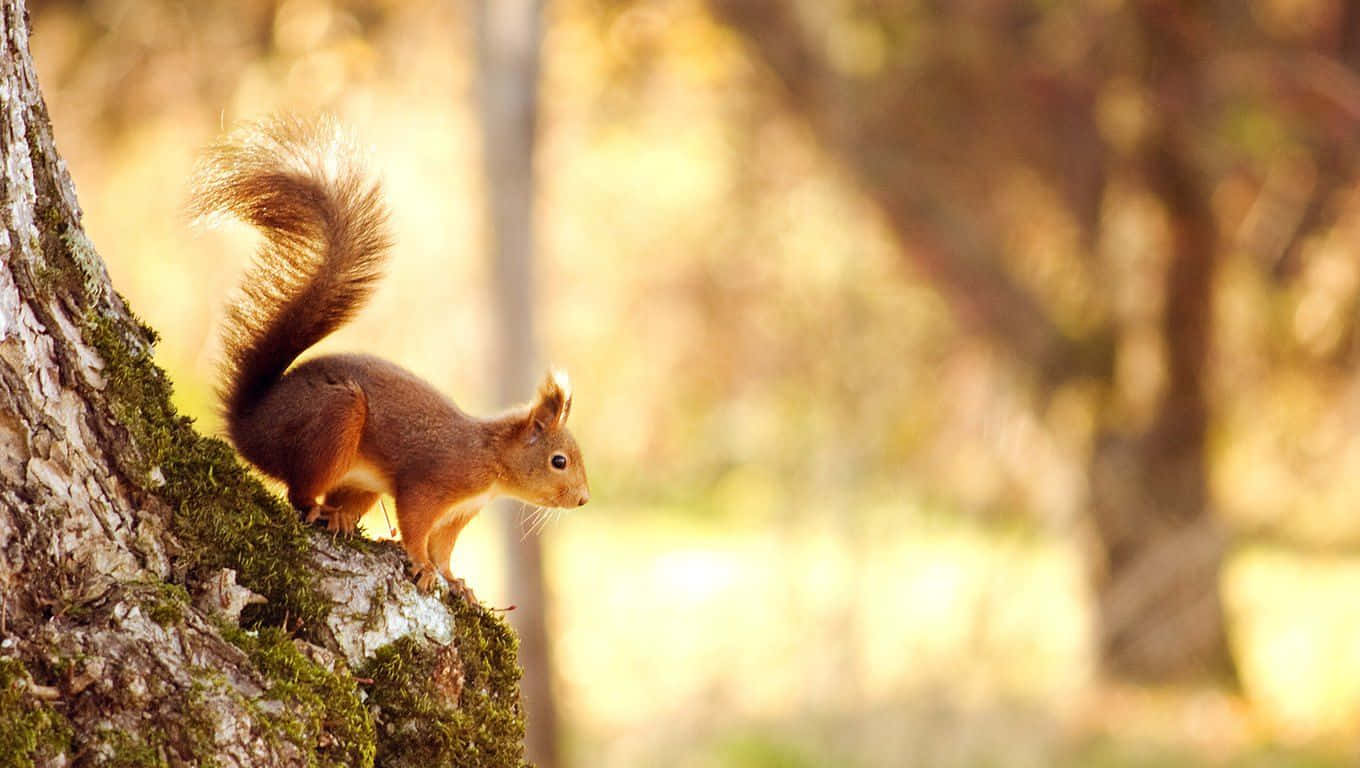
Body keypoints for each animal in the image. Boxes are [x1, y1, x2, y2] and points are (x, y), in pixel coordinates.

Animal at [192, 116, 589, 595]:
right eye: (558, 461)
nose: (584, 499)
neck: (491, 460)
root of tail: (249, 424)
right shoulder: (432, 483)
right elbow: (417, 526)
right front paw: (421, 566)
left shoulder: (460, 512)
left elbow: (444, 547)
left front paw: (455, 580)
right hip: (333, 421)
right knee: (298, 492)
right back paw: (320, 510)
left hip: (361, 480)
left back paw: (341, 517)